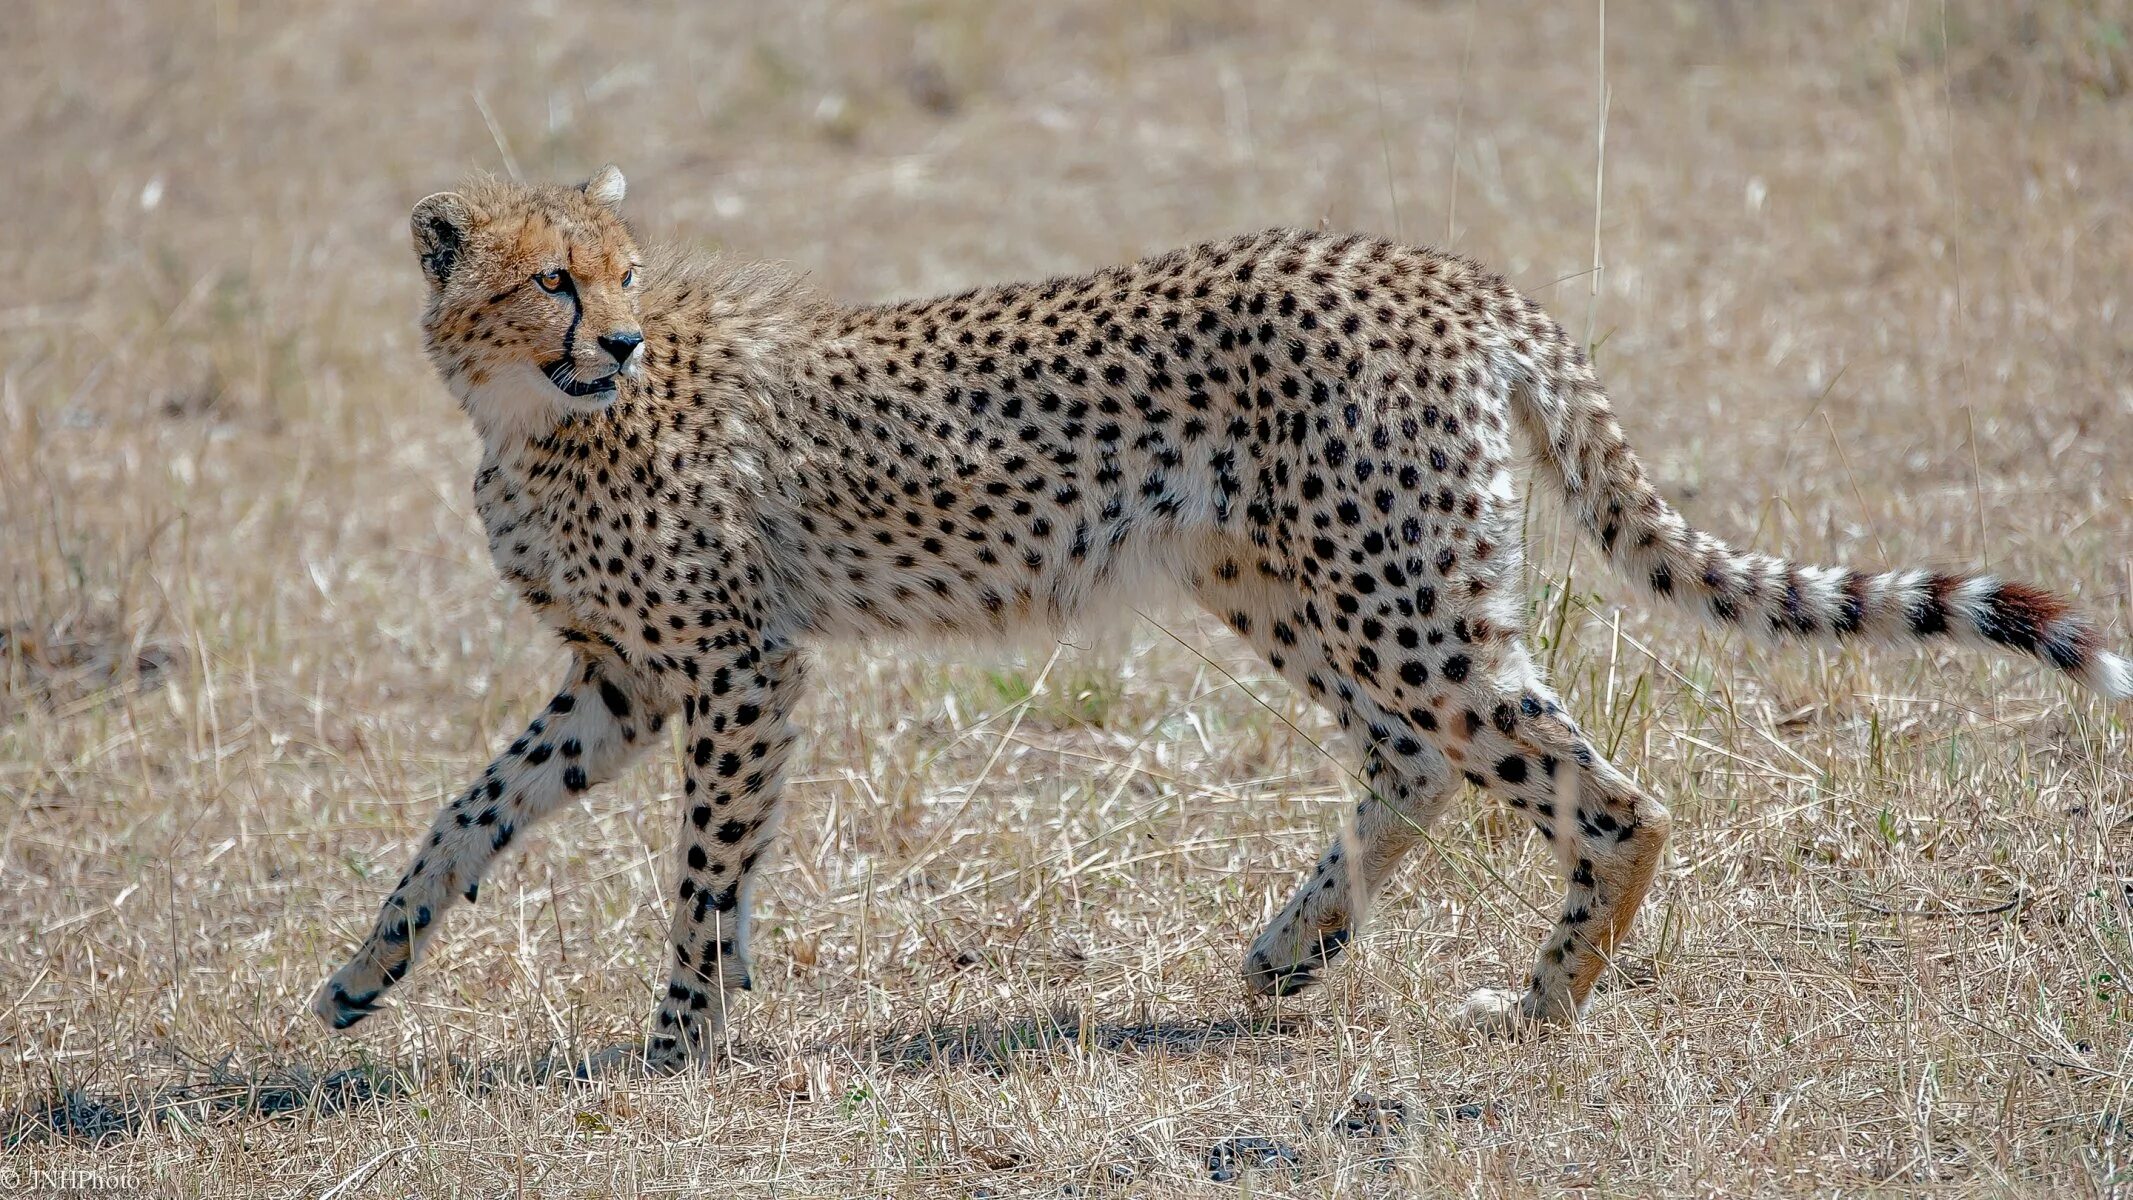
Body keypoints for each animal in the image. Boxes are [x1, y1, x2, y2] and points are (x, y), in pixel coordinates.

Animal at [309, 166, 2124, 1069]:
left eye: (622, 275)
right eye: (554, 279)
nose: (613, 340)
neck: (530, 417)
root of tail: (1444, 269)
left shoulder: (738, 666)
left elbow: (699, 869)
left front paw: (682, 1034)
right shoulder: (624, 679)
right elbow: (469, 815)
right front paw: (360, 978)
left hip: (1393, 597)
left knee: (1602, 794)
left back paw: (1536, 1010)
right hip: (1293, 582)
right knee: (1414, 762)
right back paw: (1291, 947)